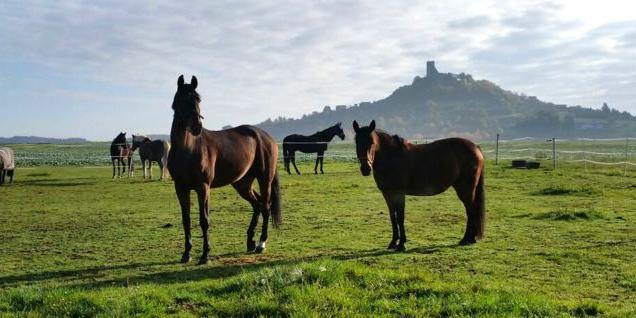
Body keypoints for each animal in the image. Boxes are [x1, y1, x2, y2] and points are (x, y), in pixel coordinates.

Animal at [168, 74, 282, 264]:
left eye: (198, 99)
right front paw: (186, 254)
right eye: (182, 99)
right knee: (257, 205)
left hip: (264, 178)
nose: (196, 127)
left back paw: (261, 244)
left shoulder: (203, 187)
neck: (188, 148)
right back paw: (250, 241)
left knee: (265, 206)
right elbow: (186, 220)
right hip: (242, 184)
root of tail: (267, 137)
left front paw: (205, 255)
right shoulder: (180, 188)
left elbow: (204, 220)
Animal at [350, 120, 484, 250]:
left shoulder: (399, 193)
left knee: (471, 210)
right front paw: (393, 242)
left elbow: (400, 217)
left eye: (372, 142)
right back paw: (470, 239)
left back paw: (467, 239)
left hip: (465, 189)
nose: (366, 168)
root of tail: (476, 147)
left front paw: (401, 244)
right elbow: (393, 217)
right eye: (356, 142)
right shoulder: (387, 194)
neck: (392, 156)